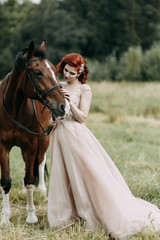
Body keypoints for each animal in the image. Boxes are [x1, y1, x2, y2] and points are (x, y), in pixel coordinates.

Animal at [0, 39, 67, 225]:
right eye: (38, 73)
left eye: (54, 70)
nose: (63, 106)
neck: (14, 109)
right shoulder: (3, 147)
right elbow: (6, 181)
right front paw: (5, 217)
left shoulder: (31, 144)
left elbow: (30, 179)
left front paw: (31, 215)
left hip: (43, 140)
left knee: (40, 161)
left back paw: (43, 191)